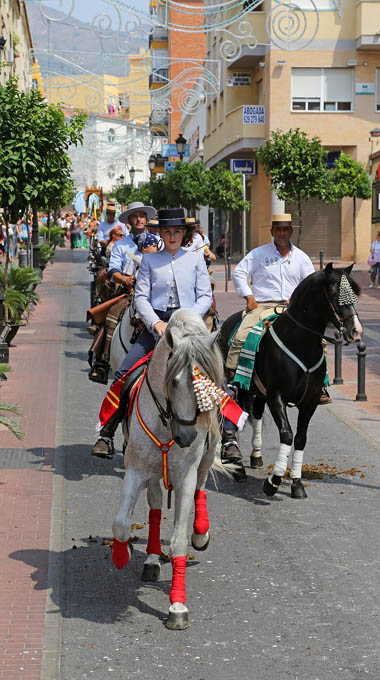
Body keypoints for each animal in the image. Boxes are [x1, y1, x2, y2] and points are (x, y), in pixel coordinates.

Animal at [111, 310, 227, 628]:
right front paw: (121, 556)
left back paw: (201, 534)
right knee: (153, 507)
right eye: (173, 382)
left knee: (201, 489)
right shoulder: (136, 470)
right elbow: (122, 523)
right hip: (152, 474)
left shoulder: (185, 477)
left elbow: (178, 542)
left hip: (203, 461)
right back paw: (151, 559)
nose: (187, 437)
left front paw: (177, 606)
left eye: (207, 385)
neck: (167, 423)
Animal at [218, 266, 360, 500]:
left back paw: (256, 455)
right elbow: (287, 434)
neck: (299, 342)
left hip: (259, 392)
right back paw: (236, 464)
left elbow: (300, 438)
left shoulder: (310, 401)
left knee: (257, 415)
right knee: (231, 416)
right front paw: (273, 482)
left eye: (355, 295)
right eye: (334, 295)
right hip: (236, 386)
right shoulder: (277, 397)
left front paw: (297, 483)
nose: (356, 331)